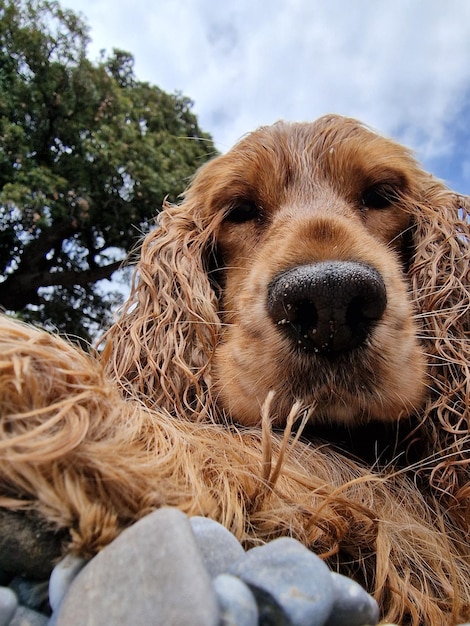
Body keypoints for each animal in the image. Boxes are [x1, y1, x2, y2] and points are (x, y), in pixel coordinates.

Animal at [0, 116, 470, 620]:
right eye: (240, 210)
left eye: (382, 196)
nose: (330, 301)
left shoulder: (430, 530)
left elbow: (249, 454)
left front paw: (49, 388)